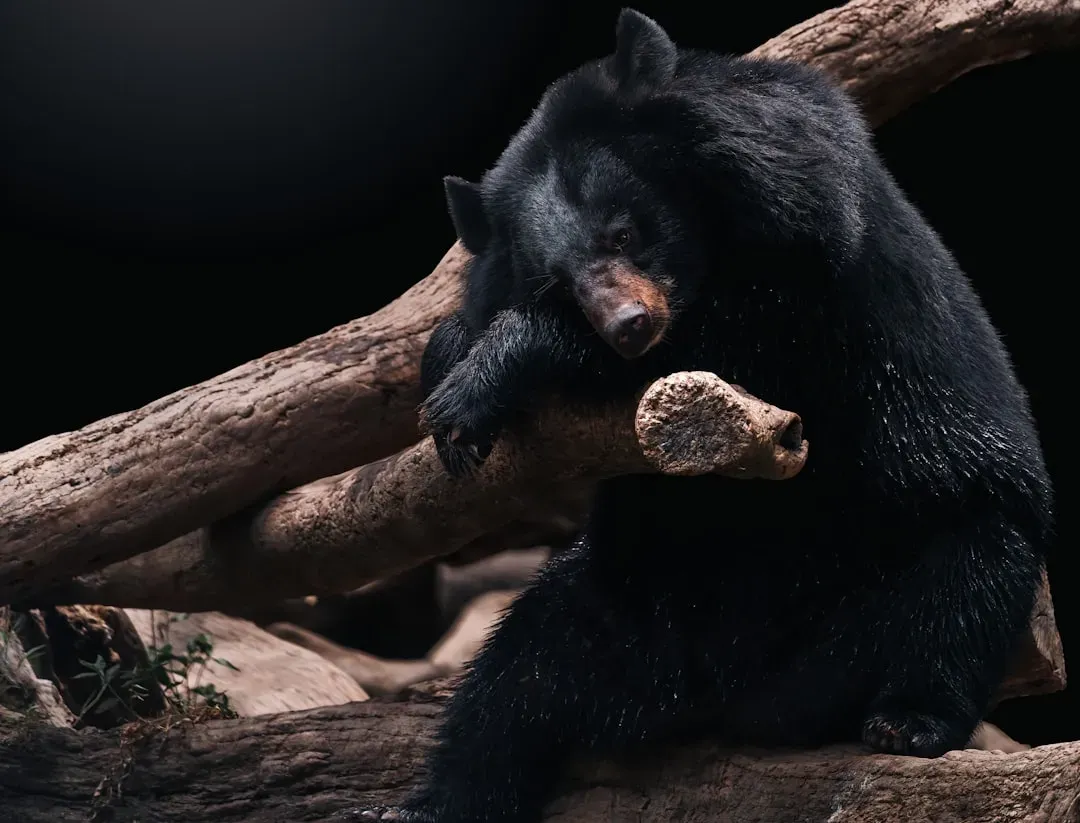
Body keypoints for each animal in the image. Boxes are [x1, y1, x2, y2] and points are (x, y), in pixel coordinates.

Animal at [344, 8, 1054, 822]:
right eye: (557, 279)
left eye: (624, 233)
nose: (628, 326)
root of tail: (729, 698)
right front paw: (456, 363)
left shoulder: (812, 254)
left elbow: (745, 341)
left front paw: (489, 376)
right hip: (617, 607)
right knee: (510, 682)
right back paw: (432, 801)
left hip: (926, 544)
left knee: (965, 581)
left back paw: (907, 720)